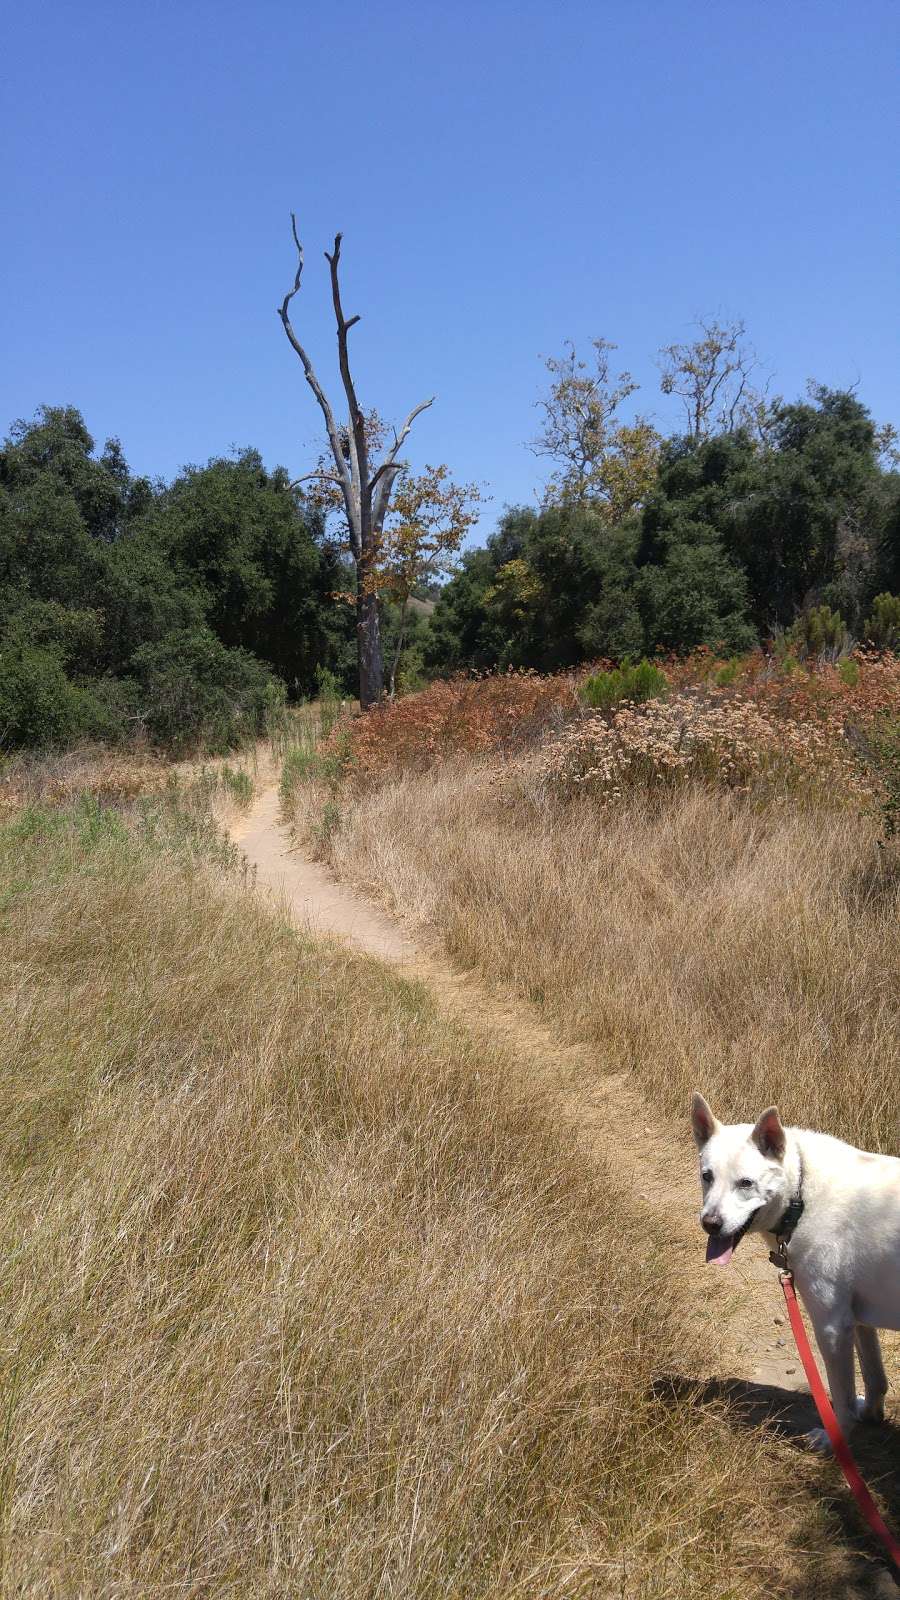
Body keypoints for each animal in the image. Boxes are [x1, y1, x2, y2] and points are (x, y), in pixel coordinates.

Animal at [688, 1094, 890, 1446]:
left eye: (746, 1183)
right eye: (707, 1176)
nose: (709, 1224)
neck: (801, 1193)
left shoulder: (832, 1326)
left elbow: (842, 1397)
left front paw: (835, 1438)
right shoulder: (860, 1320)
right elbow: (875, 1377)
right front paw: (869, 1415)